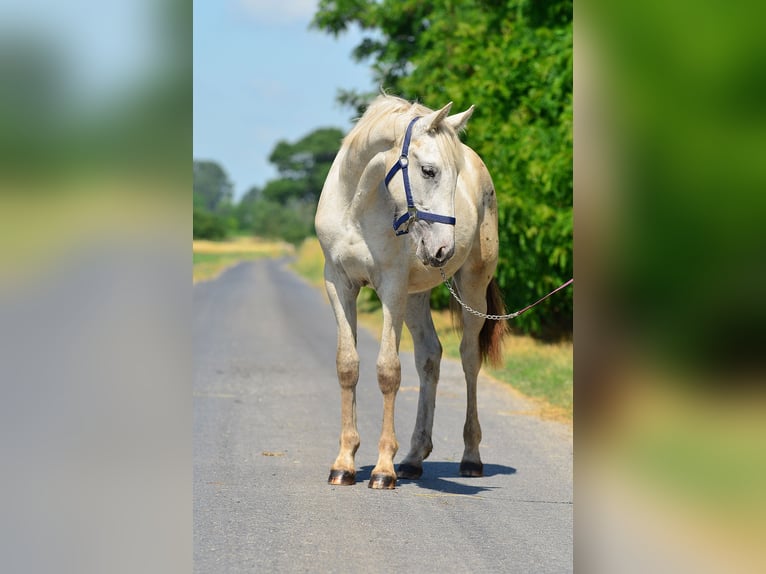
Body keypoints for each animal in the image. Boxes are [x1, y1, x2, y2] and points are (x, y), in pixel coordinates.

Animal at [316, 94, 508, 490]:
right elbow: (348, 365)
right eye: (429, 171)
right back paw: (414, 459)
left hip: (471, 287)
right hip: (417, 296)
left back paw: (470, 457)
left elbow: (388, 371)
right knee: (430, 357)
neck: (357, 207)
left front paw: (382, 469)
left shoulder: (391, 287)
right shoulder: (338, 283)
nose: (444, 249)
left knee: (468, 360)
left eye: (455, 176)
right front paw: (344, 464)